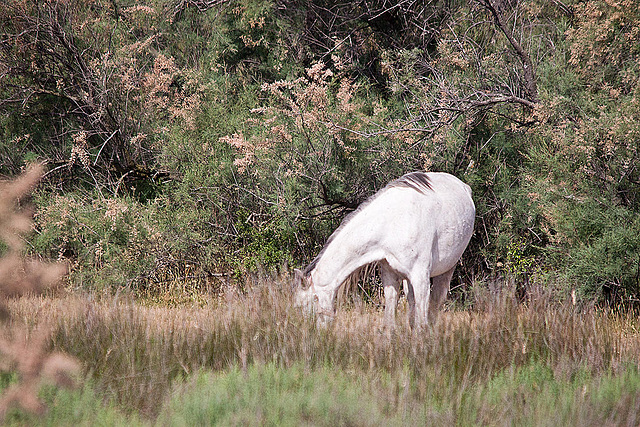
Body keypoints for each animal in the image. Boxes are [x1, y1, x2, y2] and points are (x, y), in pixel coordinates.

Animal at [296, 171, 476, 332]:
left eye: (306, 303)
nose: (310, 332)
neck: (391, 224)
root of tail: (465, 187)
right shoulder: (390, 275)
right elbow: (390, 319)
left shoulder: (421, 278)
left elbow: (422, 324)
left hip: (447, 269)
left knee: (436, 303)